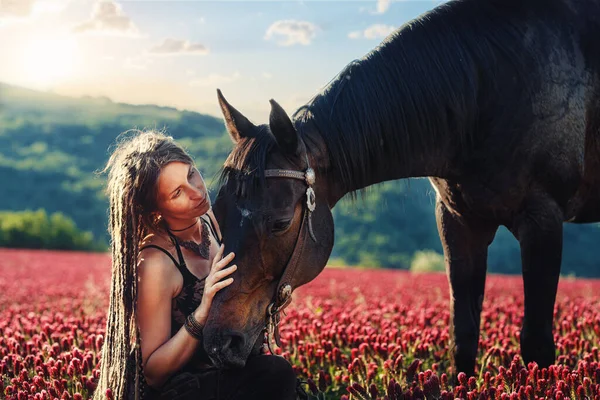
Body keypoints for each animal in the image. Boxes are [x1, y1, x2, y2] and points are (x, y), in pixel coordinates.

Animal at [200, 0, 600, 378]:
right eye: (217, 216)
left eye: (281, 223)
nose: (218, 343)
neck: (488, 92)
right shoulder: (457, 221)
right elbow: (464, 334)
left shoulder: (543, 218)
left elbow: (536, 343)